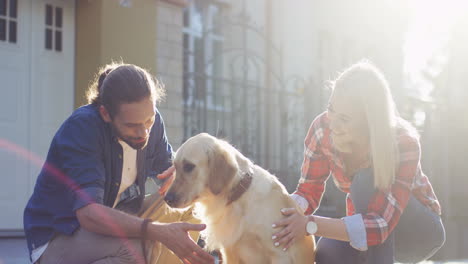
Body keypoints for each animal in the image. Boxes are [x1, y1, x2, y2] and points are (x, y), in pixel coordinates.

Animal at [164, 133, 314, 262]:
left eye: (189, 166)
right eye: (175, 167)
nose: (167, 199)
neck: (239, 197)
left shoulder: (279, 254)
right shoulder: (229, 251)